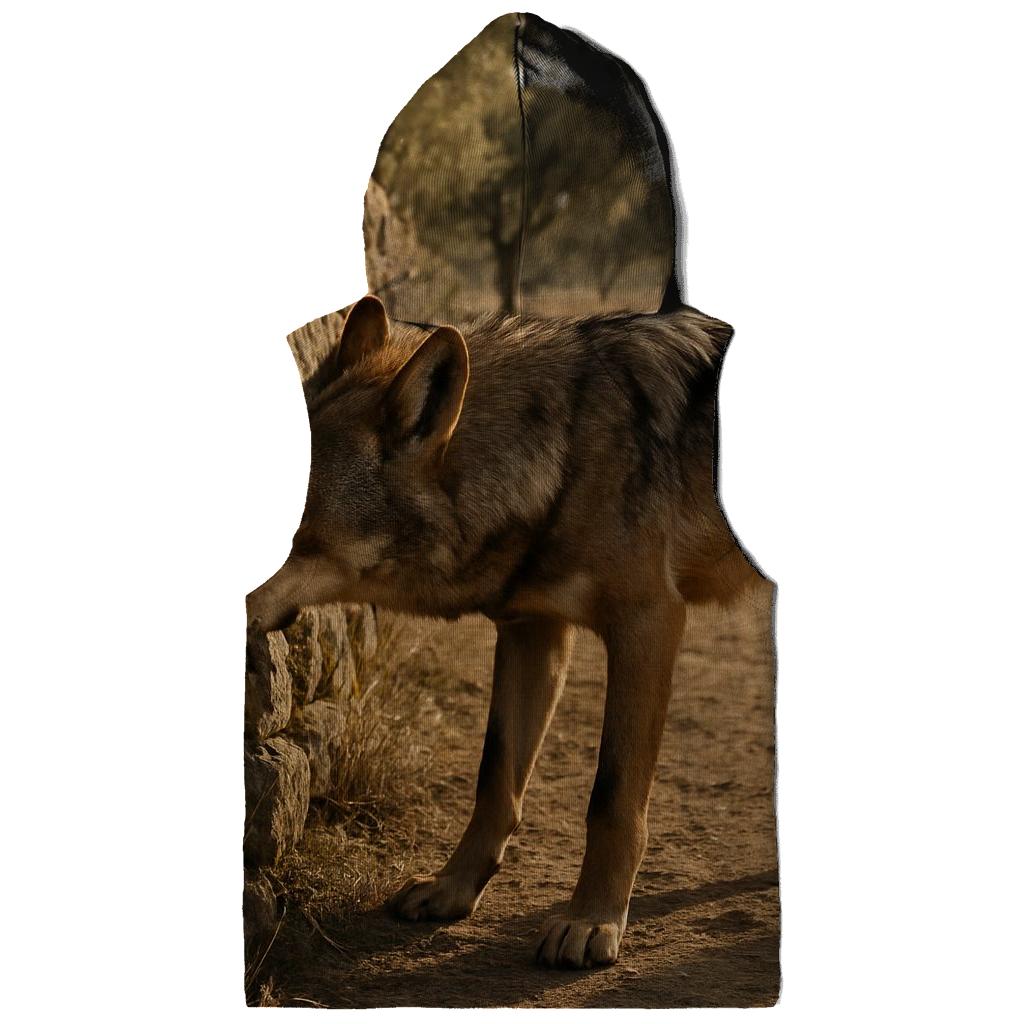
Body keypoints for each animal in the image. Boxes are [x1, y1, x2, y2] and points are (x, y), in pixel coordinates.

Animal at [247, 294, 757, 968]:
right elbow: (495, 777)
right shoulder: (530, 629)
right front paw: (452, 889)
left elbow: (612, 797)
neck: (567, 456)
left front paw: (591, 921)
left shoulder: (648, 625)